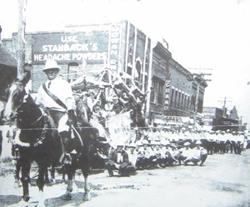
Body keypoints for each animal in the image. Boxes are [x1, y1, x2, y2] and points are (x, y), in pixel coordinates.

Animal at [4, 73, 99, 205]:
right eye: (7, 92)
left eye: (19, 93)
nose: (7, 115)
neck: (34, 129)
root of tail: (87, 124)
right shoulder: (25, 158)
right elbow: (25, 178)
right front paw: (25, 199)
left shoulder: (42, 161)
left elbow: (40, 181)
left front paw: (41, 202)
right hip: (72, 156)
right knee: (70, 170)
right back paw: (68, 192)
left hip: (86, 154)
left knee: (85, 171)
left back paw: (86, 194)